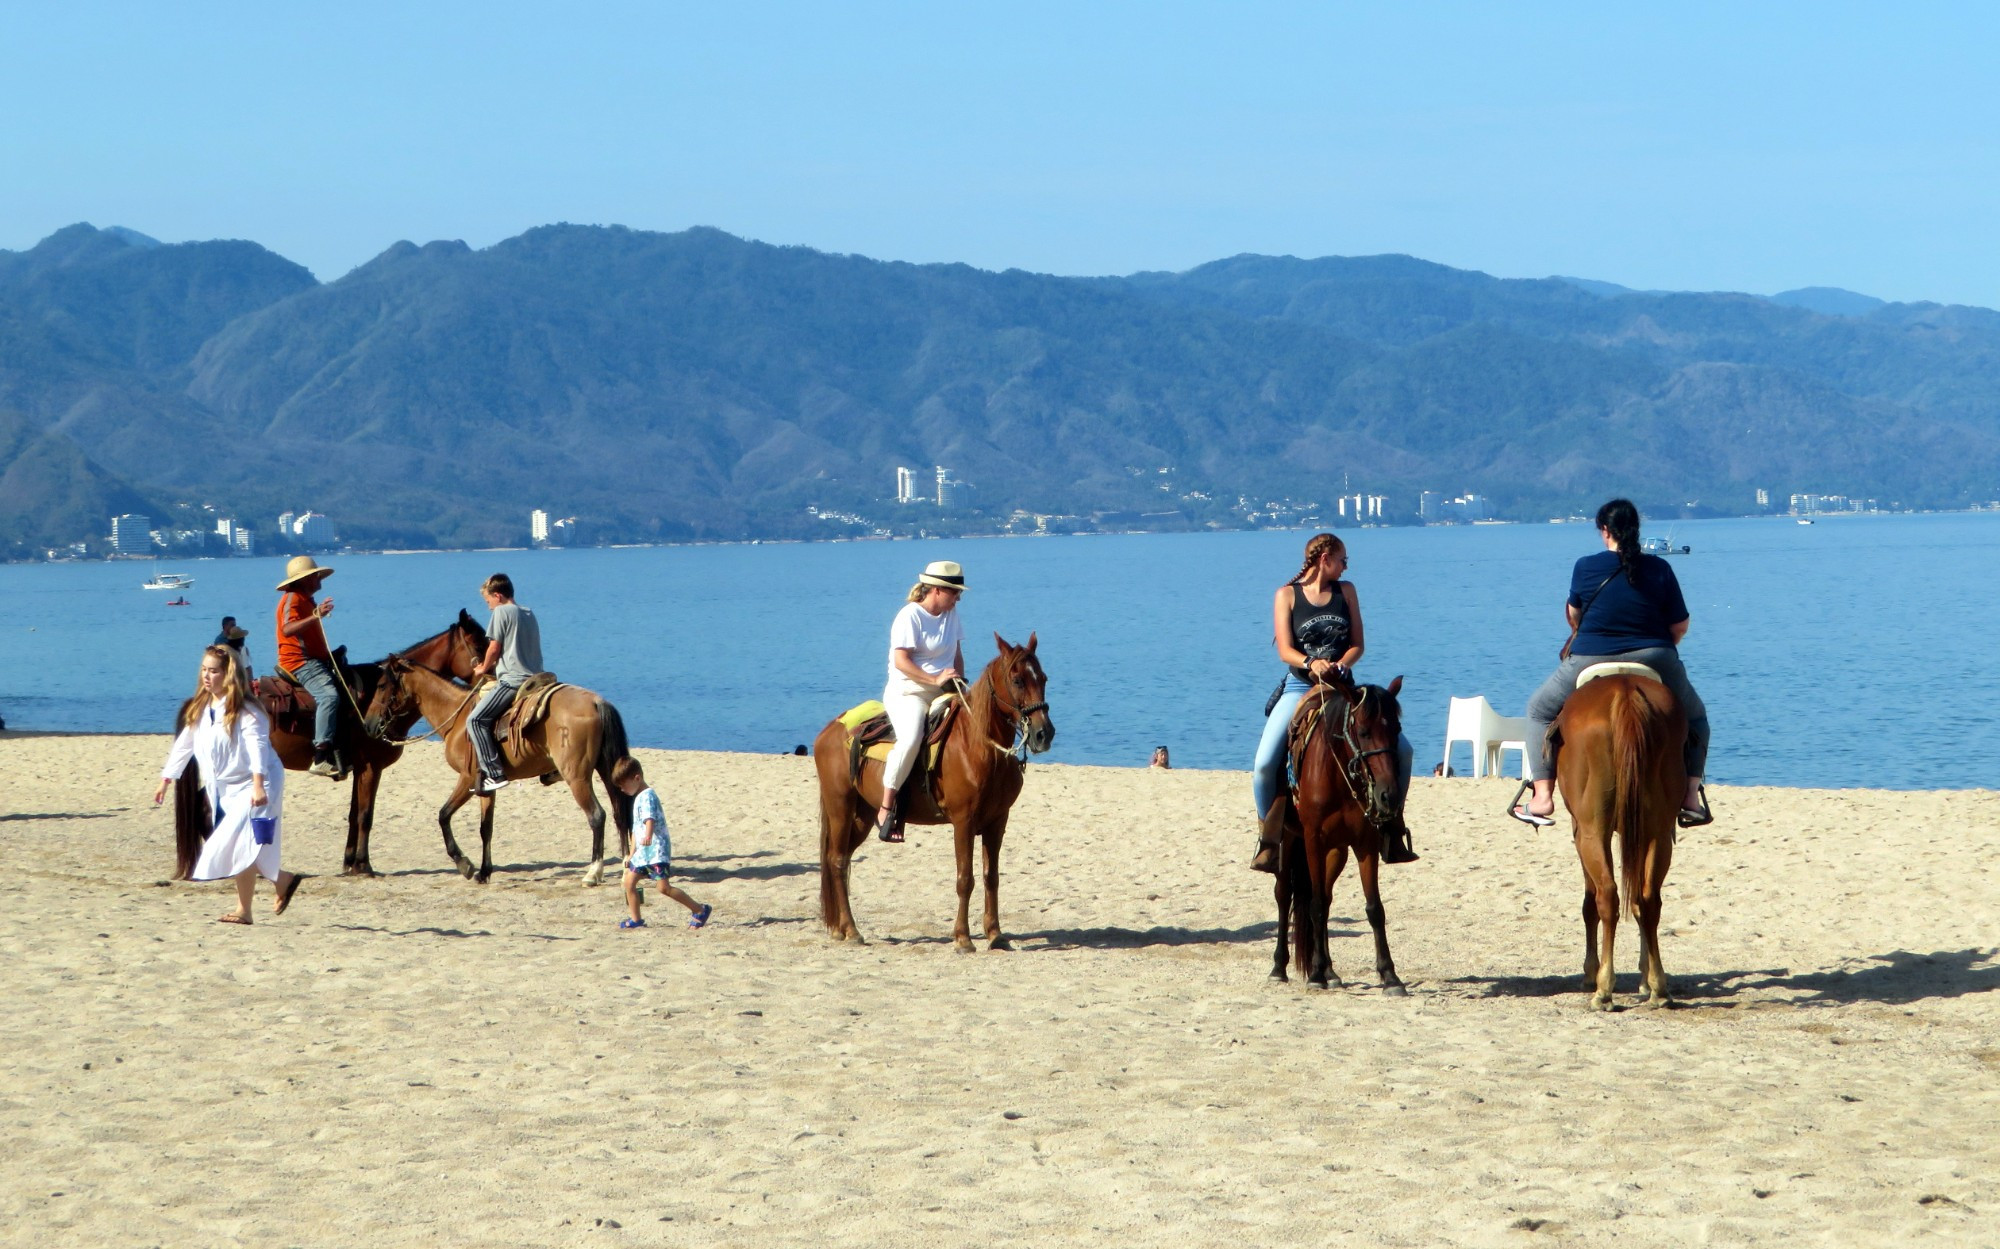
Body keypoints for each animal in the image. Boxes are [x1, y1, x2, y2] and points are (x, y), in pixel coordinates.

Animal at [173, 616, 492, 876]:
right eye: (479, 642)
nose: (491, 676)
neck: (371, 702)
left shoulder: (359, 768)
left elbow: (353, 814)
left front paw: (350, 862)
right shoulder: (371, 768)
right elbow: (365, 815)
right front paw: (364, 864)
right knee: (208, 808)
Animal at [362, 660, 632, 884]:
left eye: (382, 685)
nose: (369, 724)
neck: (458, 719)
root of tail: (596, 702)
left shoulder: (467, 780)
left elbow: (443, 816)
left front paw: (464, 864)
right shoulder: (486, 787)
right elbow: (486, 828)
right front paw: (484, 872)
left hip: (576, 777)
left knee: (597, 816)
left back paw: (593, 872)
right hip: (606, 771)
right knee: (620, 814)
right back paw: (627, 866)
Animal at [816, 632, 1064, 944]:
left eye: (1042, 678)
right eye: (1018, 680)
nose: (1044, 733)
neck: (977, 746)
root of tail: (830, 730)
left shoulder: (997, 821)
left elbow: (991, 877)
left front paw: (995, 934)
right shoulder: (963, 822)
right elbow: (965, 879)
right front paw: (963, 938)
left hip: (862, 815)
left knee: (842, 859)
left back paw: (840, 927)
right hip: (840, 807)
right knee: (837, 861)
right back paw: (851, 929)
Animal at [1264, 672, 1408, 996]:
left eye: (1396, 729)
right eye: (1364, 732)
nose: (1388, 796)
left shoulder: (1365, 842)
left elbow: (1374, 909)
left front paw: (1390, 976)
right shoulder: (1313, 839)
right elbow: (1314, 906)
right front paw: (1315, 975)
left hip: (1337, 850)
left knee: (1326, 898)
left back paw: (1330, 971)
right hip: (1289, 842)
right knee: (1284, 896)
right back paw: (1280, 968)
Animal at [1544, 668, 1688, 1008]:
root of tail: (1625, 692)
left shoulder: (1579, 830)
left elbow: (1589, 903)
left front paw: (1590, 972)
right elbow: (1637, 900)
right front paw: (1644, 978)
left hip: (1592, 831)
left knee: (1607, 896)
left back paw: (1603, 988)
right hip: (1657, 832)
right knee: (1648, 899)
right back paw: (1659, 987)